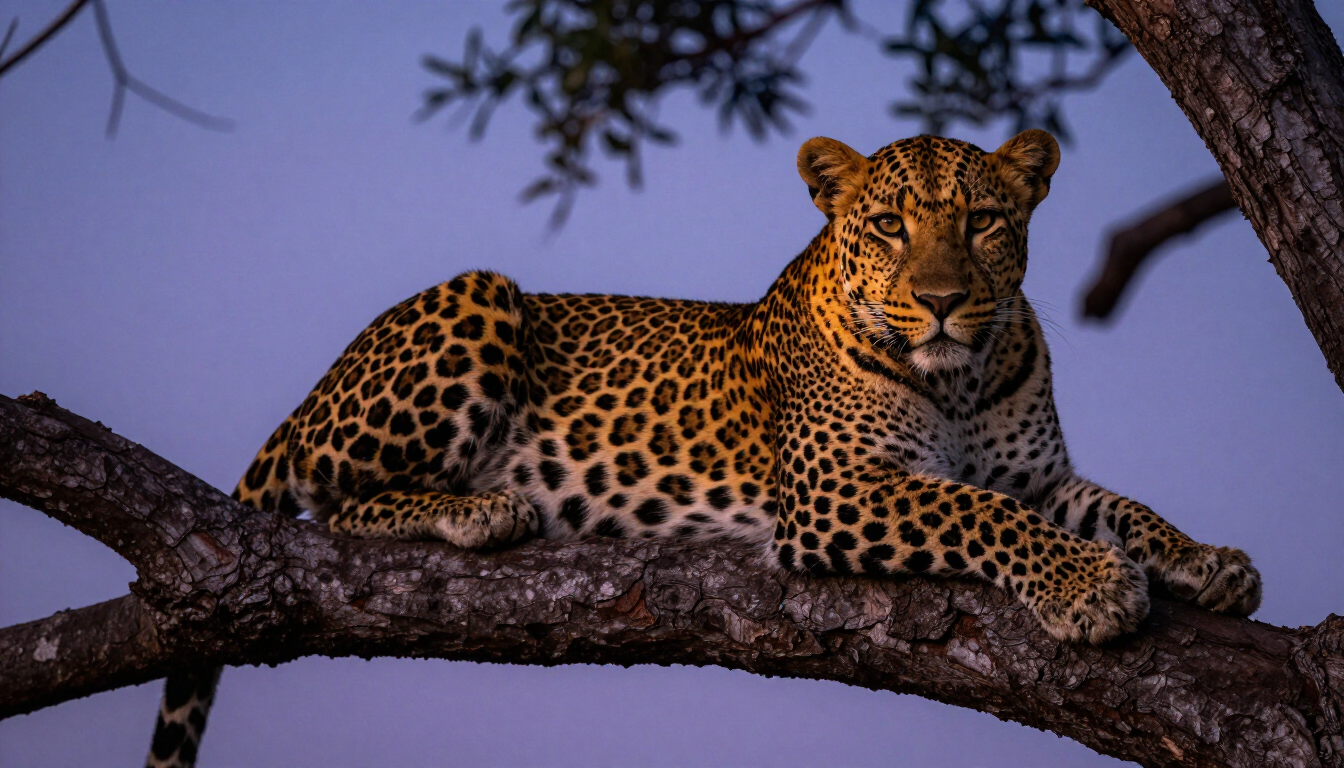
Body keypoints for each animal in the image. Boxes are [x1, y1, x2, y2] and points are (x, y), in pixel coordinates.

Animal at [145, 130, 1262, 768]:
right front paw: (1090, 588)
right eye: (887, 226)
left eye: (986, 220)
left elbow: (1116, 507)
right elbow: (981, 512)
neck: (962, 373)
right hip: (477, 295)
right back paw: (479, 506)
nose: (944, 300)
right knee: (334, 497)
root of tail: (317, 387)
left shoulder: (1041, 476)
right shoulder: (838, 490)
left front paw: (1208, 561)